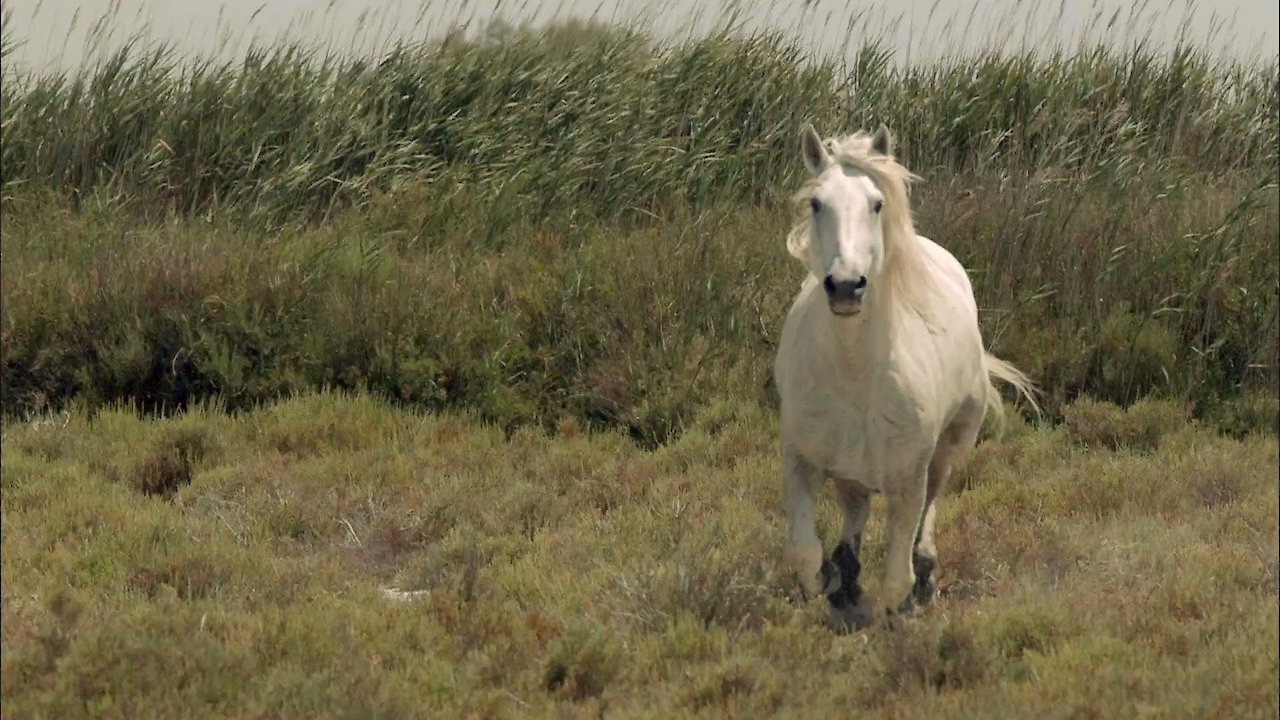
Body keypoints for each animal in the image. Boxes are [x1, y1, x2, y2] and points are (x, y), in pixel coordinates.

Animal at [774, 123, 1038, 632]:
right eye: (816, 203)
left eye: (877, 204)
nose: (846, 286)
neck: (856, 375)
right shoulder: (800, 460)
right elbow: (803, 551)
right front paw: (830, 585)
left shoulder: (907, 477)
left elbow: (896, 575)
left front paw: (898, 611)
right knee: (855, 507)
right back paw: (847, 580)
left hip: (949, 446)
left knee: (931, 503)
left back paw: (925, 575)